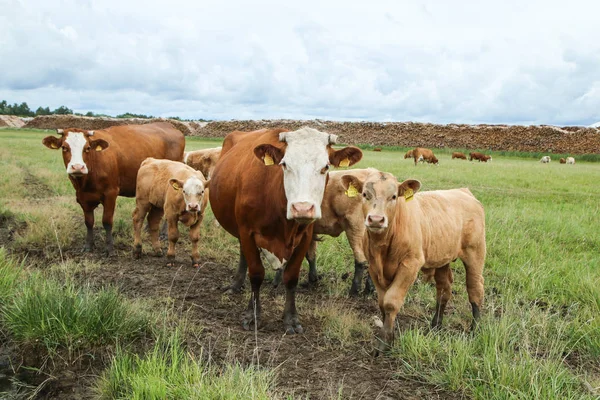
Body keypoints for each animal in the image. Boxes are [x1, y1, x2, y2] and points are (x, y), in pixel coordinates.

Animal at [42, 122, 185, 255]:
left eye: (87, 148)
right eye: (64, 147)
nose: (77, 167)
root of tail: (169, 125)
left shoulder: (110, 194)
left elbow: (107, 221)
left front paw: (109, 248)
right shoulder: (82, 197)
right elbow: (88, 221)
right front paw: (89, 245)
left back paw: (164, 233)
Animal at [210, 126, 360, 332]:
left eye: (325, 167)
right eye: (285, 165)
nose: (302, 208)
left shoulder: (305, 236)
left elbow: (291, 277)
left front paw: (290, 318)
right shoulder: (247, 232)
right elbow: (256, 274)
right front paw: (253, 315)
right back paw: (235, 284)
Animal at [340, 170, 486, 354]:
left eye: (394, 196)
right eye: (365, 194)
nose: (376, 219)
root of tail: (463, 191)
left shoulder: (410, 264)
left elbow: (391, 302)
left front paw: (384, 342)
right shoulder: (374, 268)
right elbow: (382, 303)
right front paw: (390, 336)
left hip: (475, 252)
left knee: (475, 288)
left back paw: (475, 329)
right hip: (442, 258)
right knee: (444, 289)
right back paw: (435, 325)